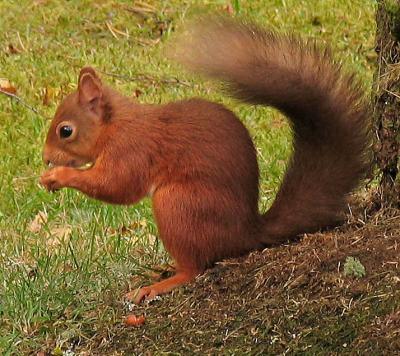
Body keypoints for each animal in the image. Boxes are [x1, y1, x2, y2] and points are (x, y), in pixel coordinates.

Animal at [39, 17, 368, 304]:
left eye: (65, 131)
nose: (45, 158)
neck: (114, 126)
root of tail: (245, 233)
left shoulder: (132, 150)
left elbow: (117, 186)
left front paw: (60, 176)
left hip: (177, 204)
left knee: (195, 268)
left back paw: (161, 284)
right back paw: (162, 270)